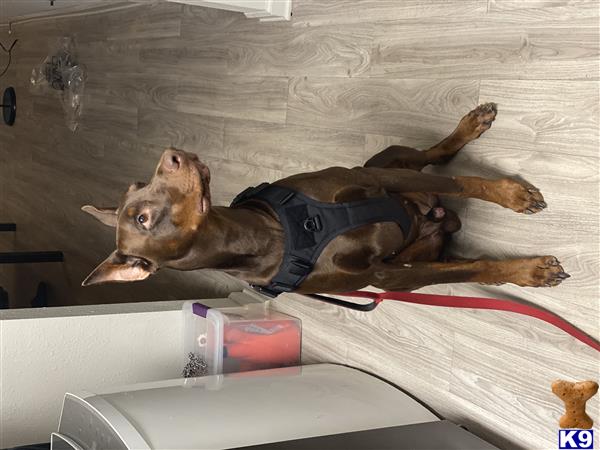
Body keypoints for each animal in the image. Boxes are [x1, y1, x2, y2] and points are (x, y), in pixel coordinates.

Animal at [82, 104, 568, 296]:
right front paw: (527, 271)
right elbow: (472, 268)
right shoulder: (389, 276)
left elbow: (465, 183)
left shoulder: (372, 179)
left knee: (434, 155)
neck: (276, 235)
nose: (171, 155)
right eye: (143, 218)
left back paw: (470, 125)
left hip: (388, 160)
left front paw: (511, 194)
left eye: (137, 185)